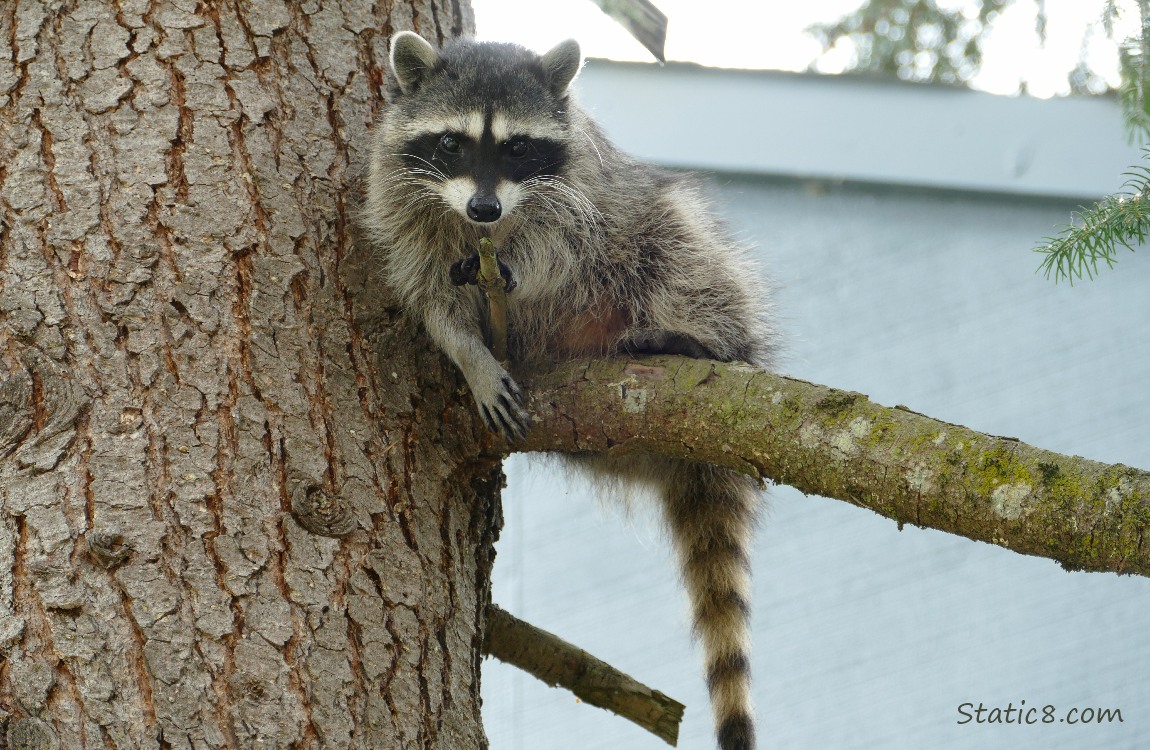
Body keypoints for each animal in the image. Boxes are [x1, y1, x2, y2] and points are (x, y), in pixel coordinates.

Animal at [364, 31, 777, 750]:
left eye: (518, 147)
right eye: (450, 143)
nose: (484, 209)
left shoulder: (586, 192)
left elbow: (565, 246)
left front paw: (517, 266)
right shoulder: (398, 197)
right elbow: (430, 295)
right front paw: (470, 354)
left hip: (668, 245)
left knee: (682, 253)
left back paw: (704, 341)